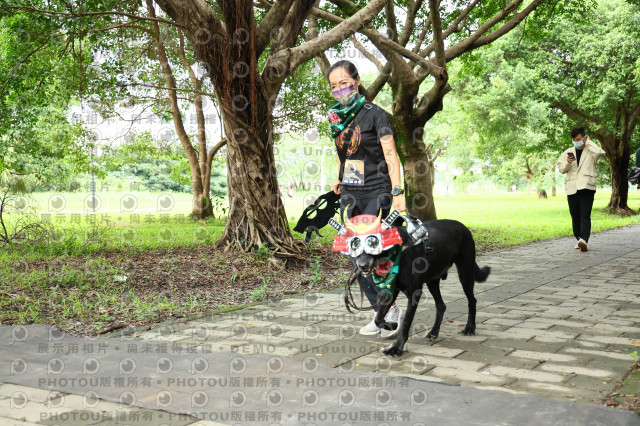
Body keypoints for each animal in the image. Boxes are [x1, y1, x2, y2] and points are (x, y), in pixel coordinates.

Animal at [356, 218, 490, 358]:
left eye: (373, 243)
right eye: (355, 246)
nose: (362, 266)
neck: (397, 252)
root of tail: (463, 226)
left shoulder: (414, 293)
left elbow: (406, 322)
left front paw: (397, 348)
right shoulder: (390, 291)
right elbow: (378, 318)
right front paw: (391, 325)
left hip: (465, 273)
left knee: (472, 300)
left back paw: (470, 327)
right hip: (432, 281)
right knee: (441, 305)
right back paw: (434, 332)